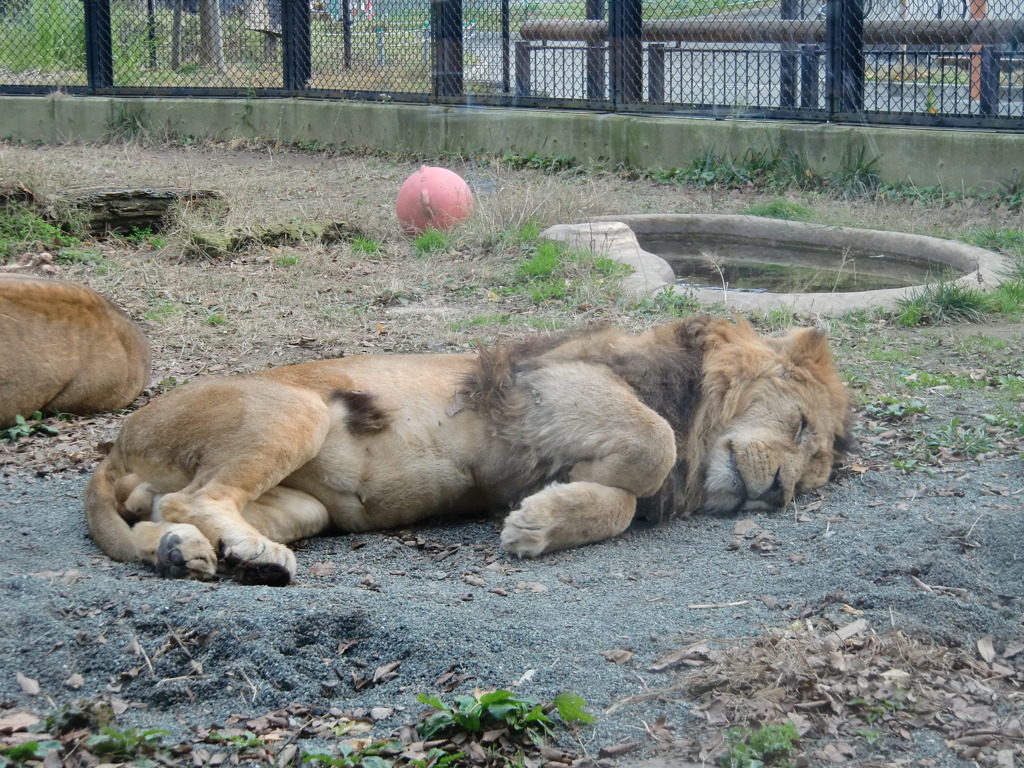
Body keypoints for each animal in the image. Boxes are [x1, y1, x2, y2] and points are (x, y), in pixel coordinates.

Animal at [86, 315, 856, 585]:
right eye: (801, 429)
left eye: (812, 479)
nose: (779, 493)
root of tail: (118, 444)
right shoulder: (549, 380)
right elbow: (654, 447)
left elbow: (618, 504)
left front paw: (540, 522)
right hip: (296, 410)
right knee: (192, 496)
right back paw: (250, 553)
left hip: (307, 507)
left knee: (164, 509)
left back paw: (184, 553)